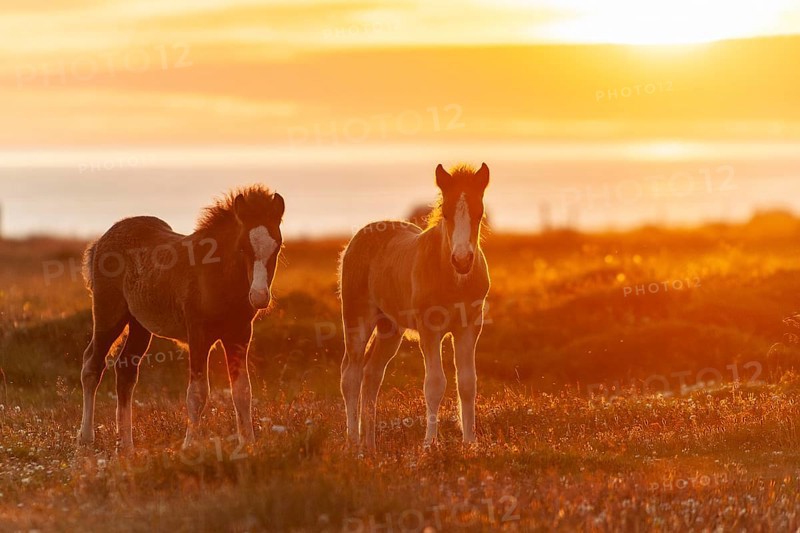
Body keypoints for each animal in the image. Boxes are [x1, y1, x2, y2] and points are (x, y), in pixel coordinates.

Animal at [77, 185, 285, 452]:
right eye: (242, 247)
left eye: (277, 246)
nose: (259, 297)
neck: (216, 276)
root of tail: (102, 240)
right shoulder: (198, 334)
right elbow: (197, 393)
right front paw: (189, 446)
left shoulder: (239, 335)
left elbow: (242, 392)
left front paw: (248, 444)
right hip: (109, 315)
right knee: (92, 365)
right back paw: (86, 438)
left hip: (140, 324)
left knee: (126, 369)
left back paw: (126, 446)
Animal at [339, 163, 491, 451]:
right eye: (446, 212)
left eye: (479, 212)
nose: (462, 260)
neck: (453, 280)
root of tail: (359, 237)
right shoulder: (429, 329)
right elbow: (434, 384)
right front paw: (430, 444)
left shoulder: (469, 327)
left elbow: (468, 383)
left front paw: (470, 444)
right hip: (357, 320)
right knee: (351, 376)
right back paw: (352, 442)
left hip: (389, 329)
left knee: (371, 375)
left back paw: (370, 447)